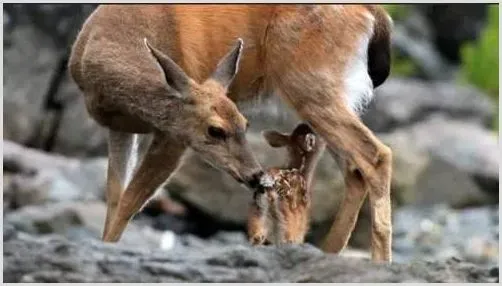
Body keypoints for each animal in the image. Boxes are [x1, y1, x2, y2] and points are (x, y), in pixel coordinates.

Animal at [68, 4, 394, 262]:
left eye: (245, 125)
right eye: (217, 130)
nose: (257, 176)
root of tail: (375, 15)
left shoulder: (174, 137)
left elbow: (130, 201)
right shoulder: (120, 129)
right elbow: (114, 196)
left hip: (311, 85)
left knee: (375, 155)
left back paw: (380, 261)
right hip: (332, 97)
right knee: (354, 171)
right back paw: (328, 253)